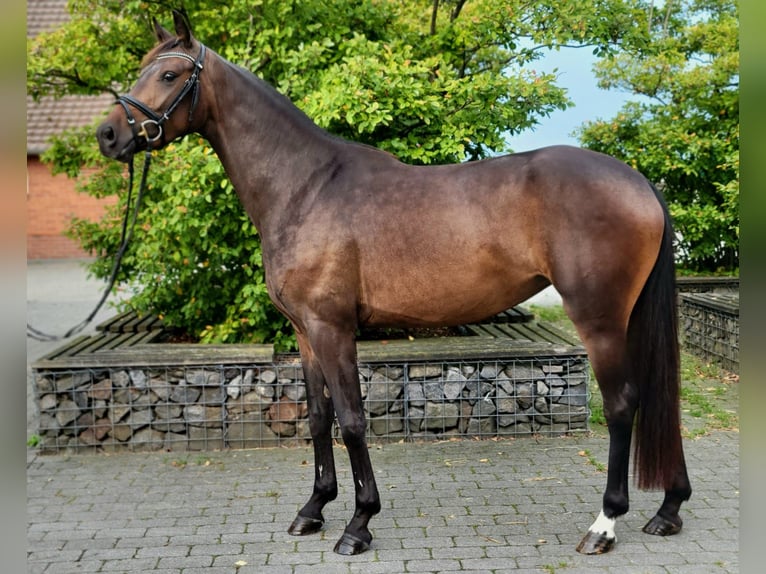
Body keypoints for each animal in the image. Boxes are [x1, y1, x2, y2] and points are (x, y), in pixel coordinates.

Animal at [94, 10, 688, 560]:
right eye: (143, 68)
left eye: (170, 74)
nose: (108, 135)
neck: (306, 186)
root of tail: (638, 181)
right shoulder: (306, 332)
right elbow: (318, 418)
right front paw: (313, 510)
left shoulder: (333, 329)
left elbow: (353, 421)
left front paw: (359, 524)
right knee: (658, 396)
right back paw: (668, 510)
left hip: (600, 320)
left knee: (622, 405)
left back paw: (604, 525)